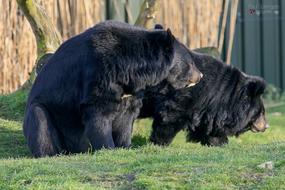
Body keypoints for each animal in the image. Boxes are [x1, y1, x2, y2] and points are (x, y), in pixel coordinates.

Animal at [23, 20, 202, 157]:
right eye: (190, 63)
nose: (200, 75)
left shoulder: (131, 94)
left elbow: (126, 119)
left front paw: (126, 146)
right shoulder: (99, 74)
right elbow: (98, 115)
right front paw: (108, 148)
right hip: (45, 113)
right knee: (40, 120)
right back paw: (50, 153)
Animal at [140, 50, 268, 145]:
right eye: (260, 113)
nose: (266, 126)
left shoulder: (207, 106)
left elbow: (207, 125)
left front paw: (219, 141)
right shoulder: (183, 97)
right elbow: (169, 117)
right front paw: (159, 142)